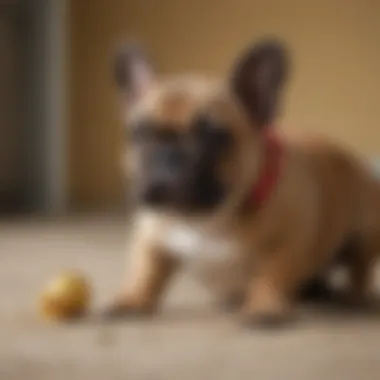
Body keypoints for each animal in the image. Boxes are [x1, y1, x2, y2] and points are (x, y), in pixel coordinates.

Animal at [103, 37, 380, 326]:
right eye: (138, 133)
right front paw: (131, 300)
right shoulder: (151, 236)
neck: (205, 219)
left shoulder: (290, 243)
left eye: (213, 136)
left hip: (368, 229)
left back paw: (355, 296)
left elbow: (273, 276)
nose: (169, 155)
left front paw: (264, 307)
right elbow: (146, 272)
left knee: (360, 268)